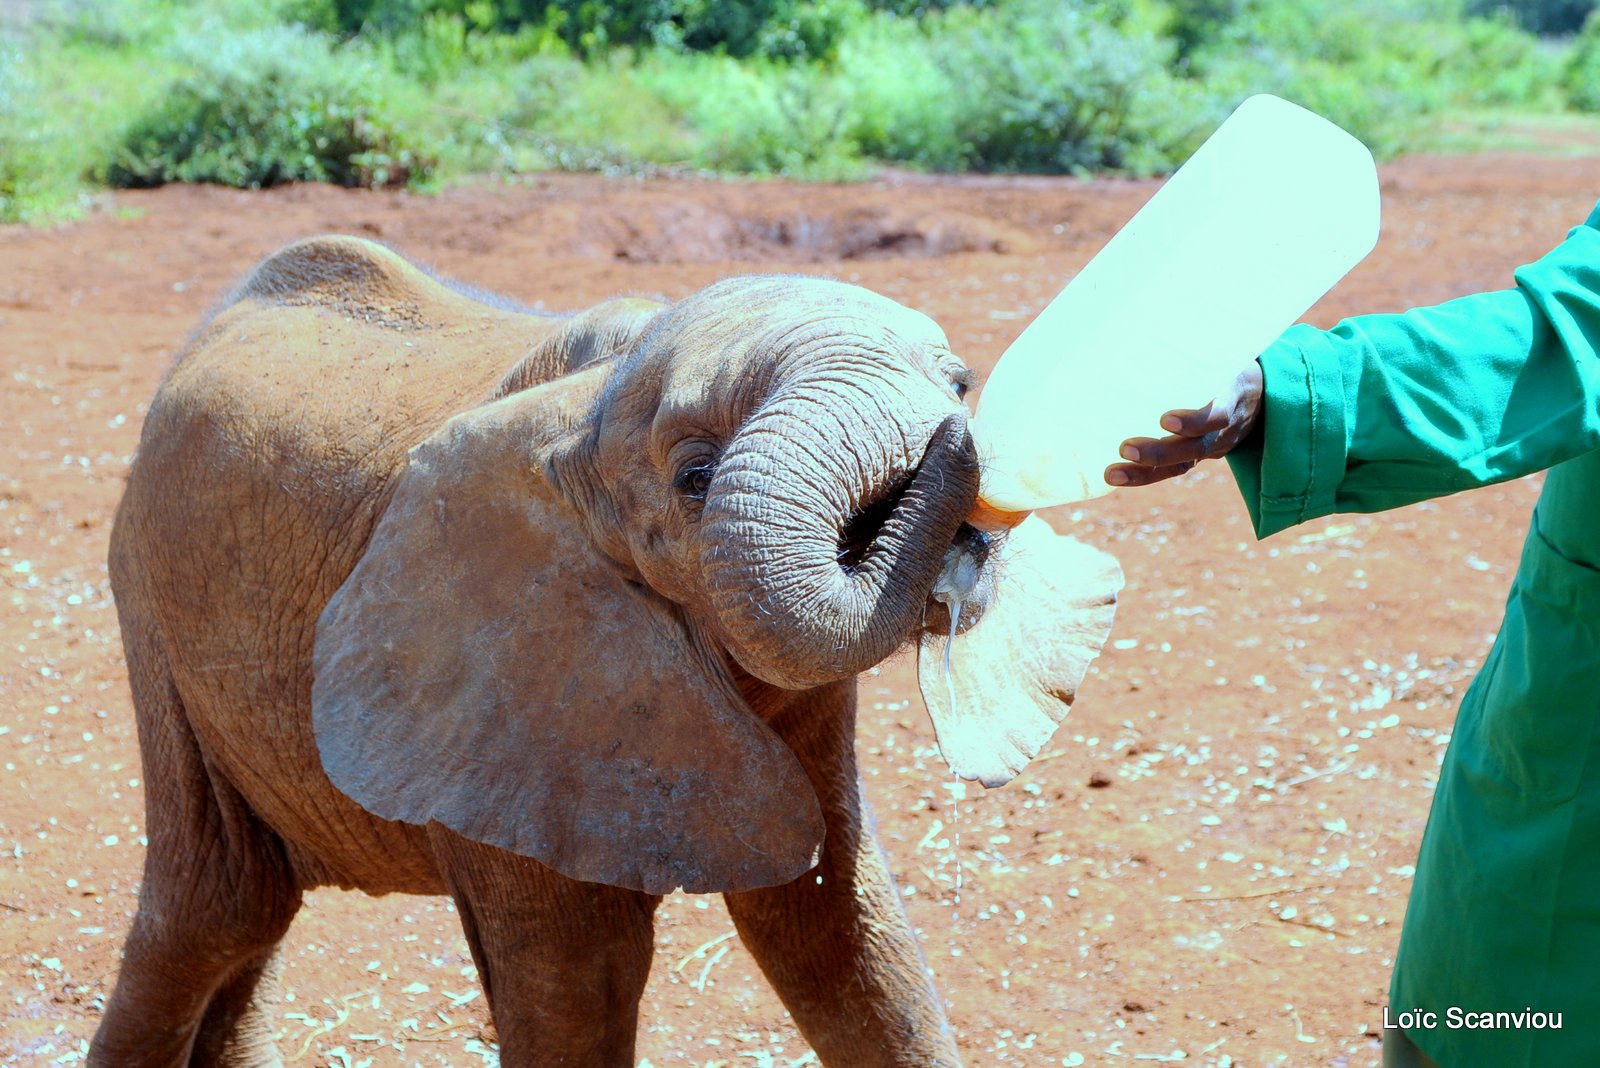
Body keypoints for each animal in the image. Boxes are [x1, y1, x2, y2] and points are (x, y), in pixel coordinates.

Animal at [96, 238, 1126, 1061]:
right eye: (695, 478)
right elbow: (579, 981)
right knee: (211, 911)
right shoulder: (506, 698)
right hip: (148, 600)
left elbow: (842, 934)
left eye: (958, 381)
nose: (959, 434)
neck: (592, 400)